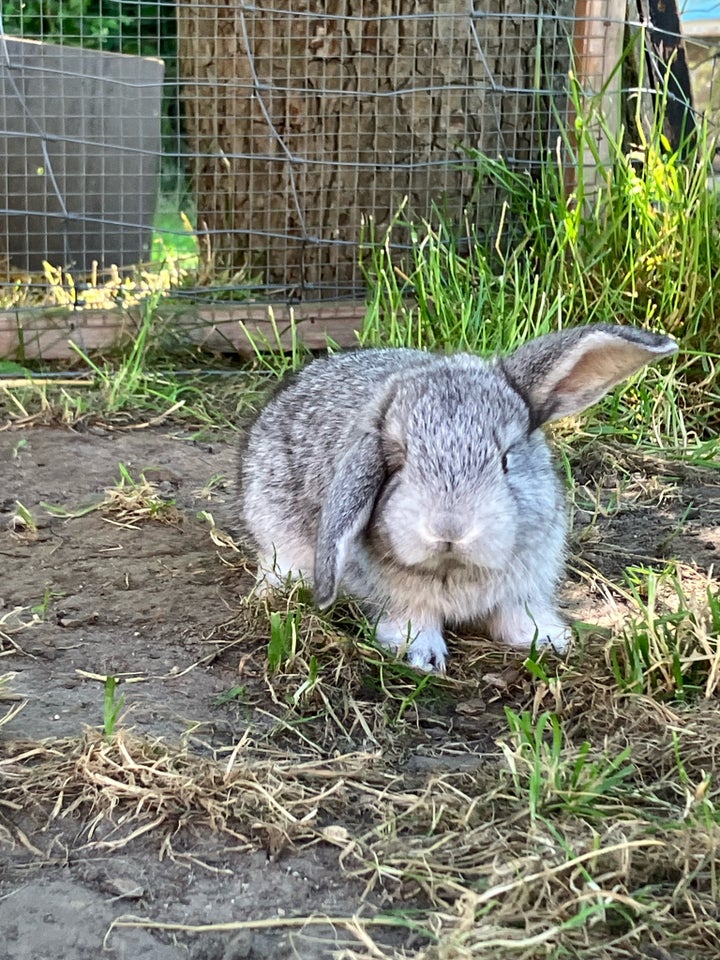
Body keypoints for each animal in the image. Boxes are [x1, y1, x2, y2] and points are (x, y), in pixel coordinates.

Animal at [239, 322, 676, 668]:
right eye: (397, 459)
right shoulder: (399, 598)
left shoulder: (526, 584)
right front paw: (421, 655)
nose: (448, 529)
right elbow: (413, 618)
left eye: (505, 459)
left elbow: (518, 615)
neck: (455, 568)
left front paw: (549, 639)